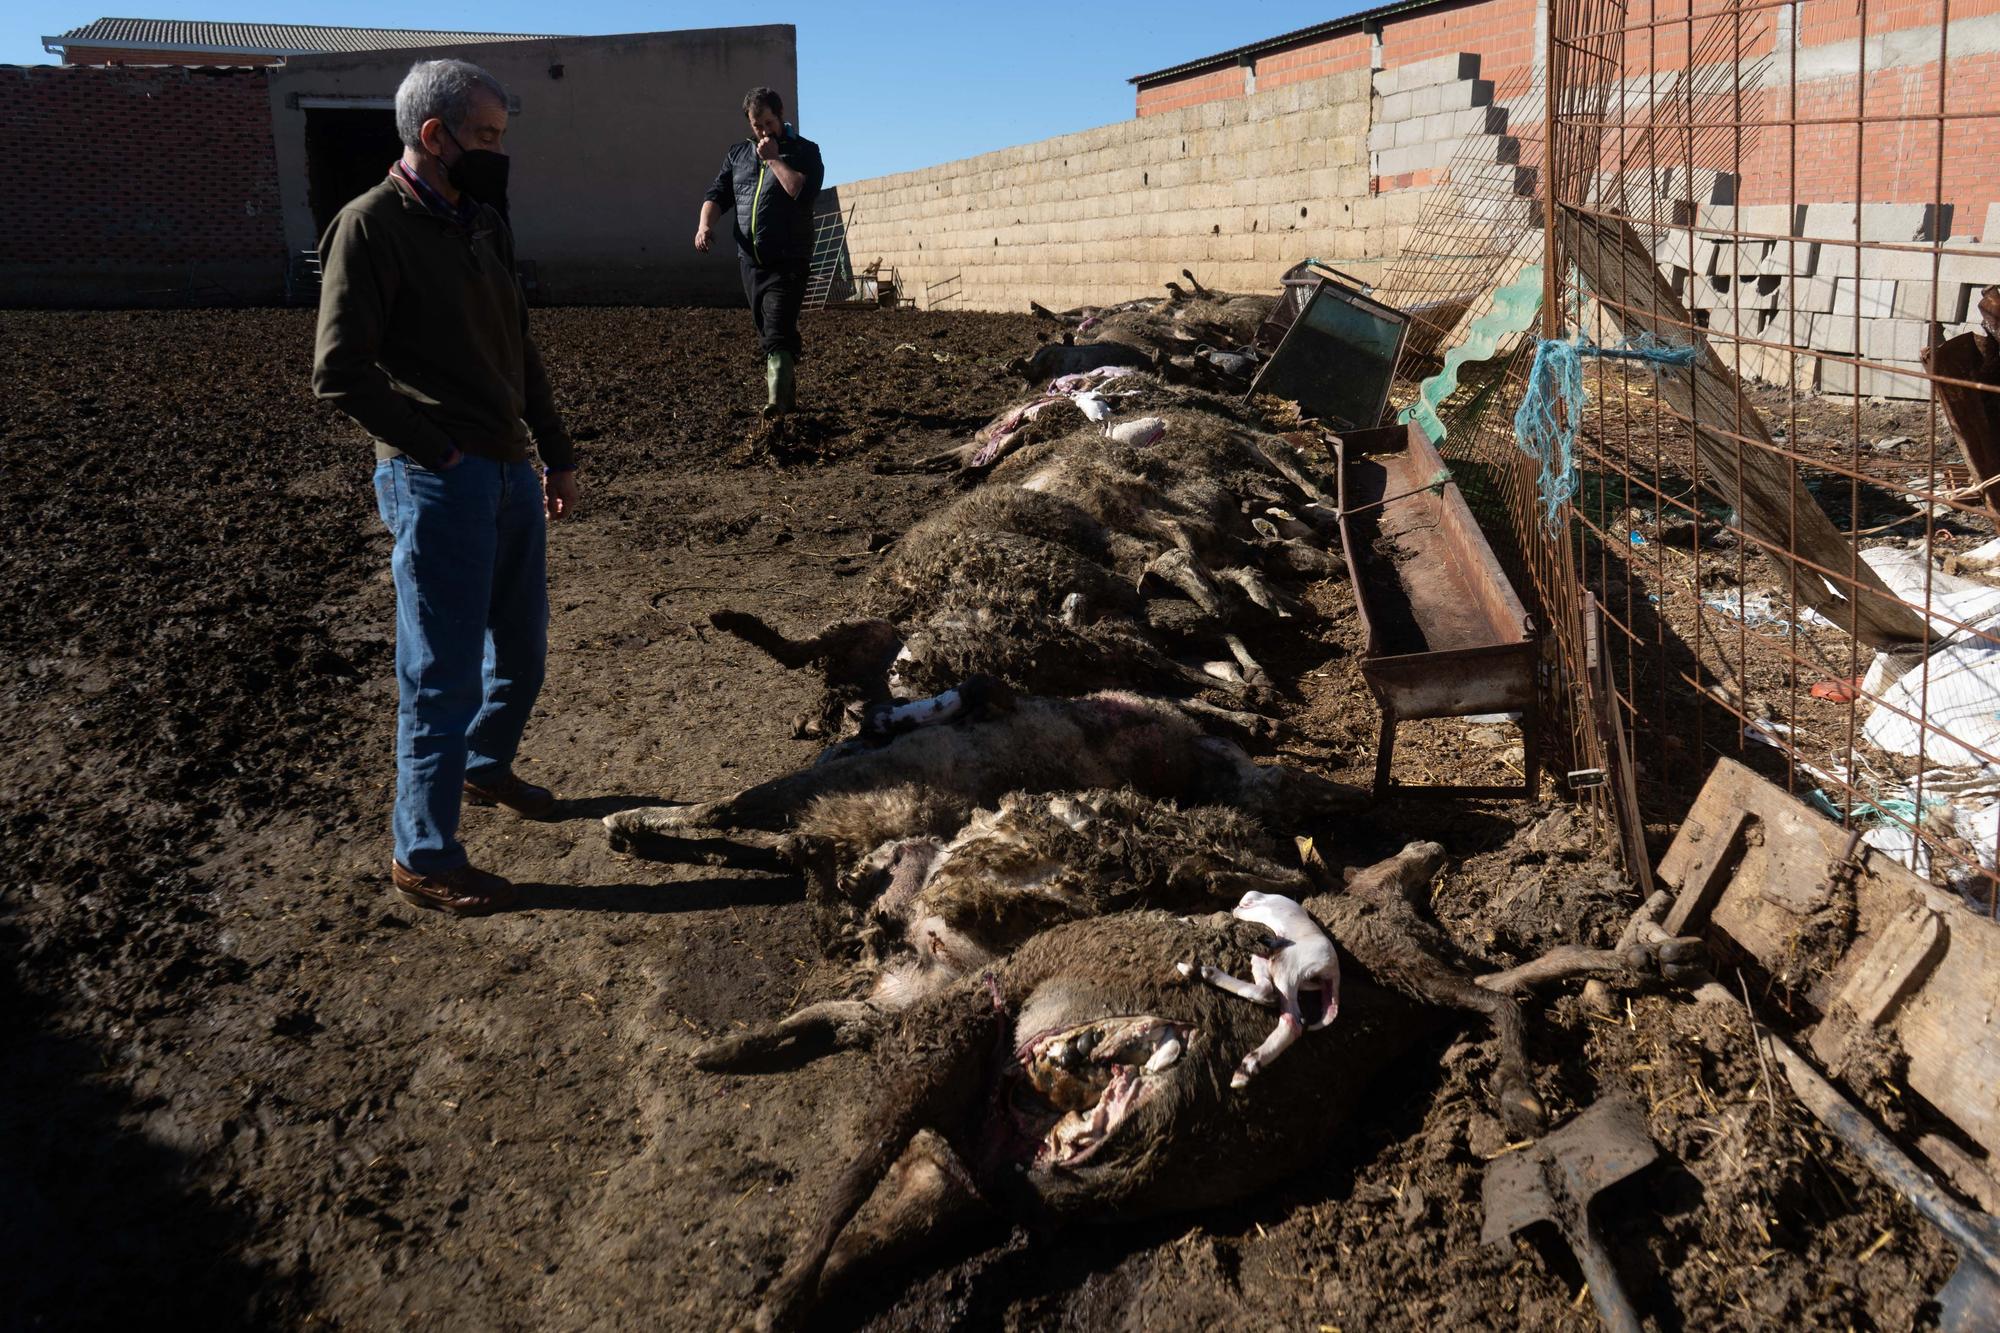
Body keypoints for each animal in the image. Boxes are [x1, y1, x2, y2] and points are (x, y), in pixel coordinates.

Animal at [1176, 888, 1336, 1088]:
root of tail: (1332, 971)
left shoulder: (1251, 900)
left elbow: (1235, 910)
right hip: (1266, 960)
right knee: (1267, 991)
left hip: (1289, 966)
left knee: (1290, 1020)